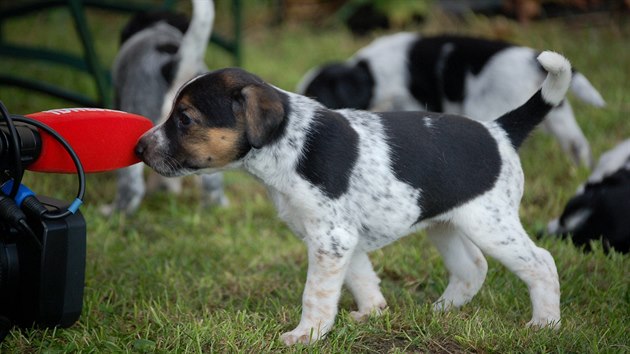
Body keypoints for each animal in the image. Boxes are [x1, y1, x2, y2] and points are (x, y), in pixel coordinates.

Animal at [136, 52, 572, 346]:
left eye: (185, 119)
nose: (139, 148)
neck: (289, 145)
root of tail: (499, 130)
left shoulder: (332, 240)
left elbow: (316, 295)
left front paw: (306, 335)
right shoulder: (343, 240)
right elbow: (361, 279)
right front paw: (372, 313)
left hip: (491, 224)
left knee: (542, 263)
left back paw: (546, 324)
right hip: (446, 224)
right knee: (472, 267)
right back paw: (440, 311)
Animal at [300, 33, 608, 167]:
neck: (368, 72)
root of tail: (533, 61)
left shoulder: (408, 100)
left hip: (487, 108)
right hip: (560, 115)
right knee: (577, 144)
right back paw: (581, 170)